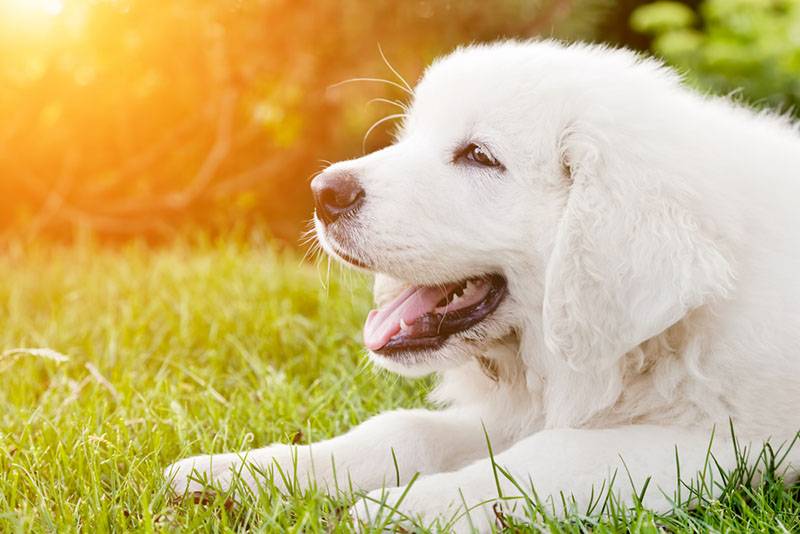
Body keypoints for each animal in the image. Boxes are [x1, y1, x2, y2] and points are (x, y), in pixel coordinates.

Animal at [166, 40, 800, 532]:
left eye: (479, 156)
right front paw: (242, 473)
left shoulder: (723, 443)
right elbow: (405, 429)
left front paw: (406, 507)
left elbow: (551, 455)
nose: (324, 192)